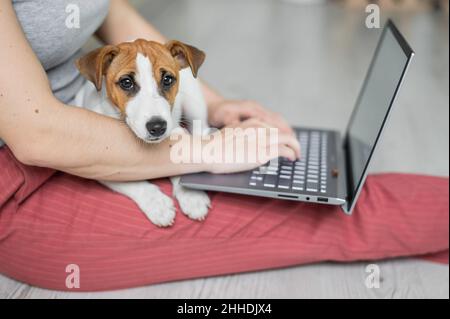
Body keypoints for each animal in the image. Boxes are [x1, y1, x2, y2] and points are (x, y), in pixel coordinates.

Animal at [75, 39, 211, 228]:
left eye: (167, 79)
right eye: (126, 82)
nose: (157, 126)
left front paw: (191, 195)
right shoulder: (98, 165)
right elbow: (133, 181)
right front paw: (157, 204)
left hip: (194, 101)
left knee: (201, 129)